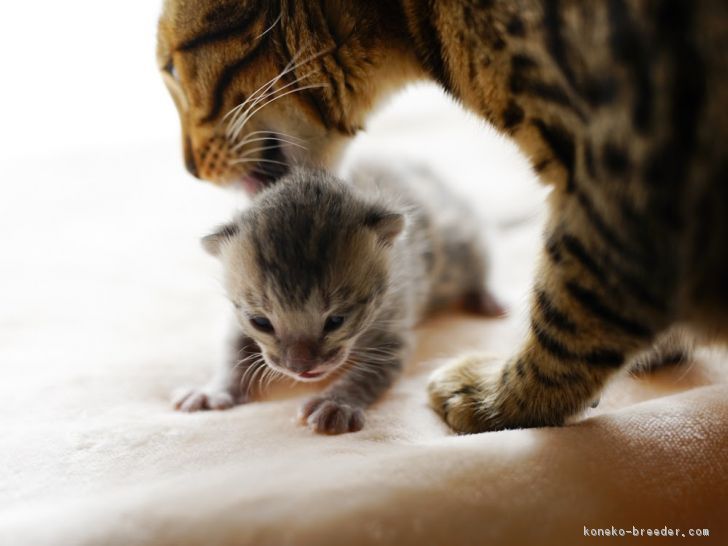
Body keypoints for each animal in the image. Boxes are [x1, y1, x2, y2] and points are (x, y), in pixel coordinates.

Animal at [173, 165, 504, 434]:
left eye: (335, 321)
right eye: (260, 322)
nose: (301, 369)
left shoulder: (394, 321)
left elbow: (371, 372)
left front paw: (337, 402)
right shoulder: (237, 321)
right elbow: (232, 351)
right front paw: (214, 390)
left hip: (459, 242)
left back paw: (485, 297)